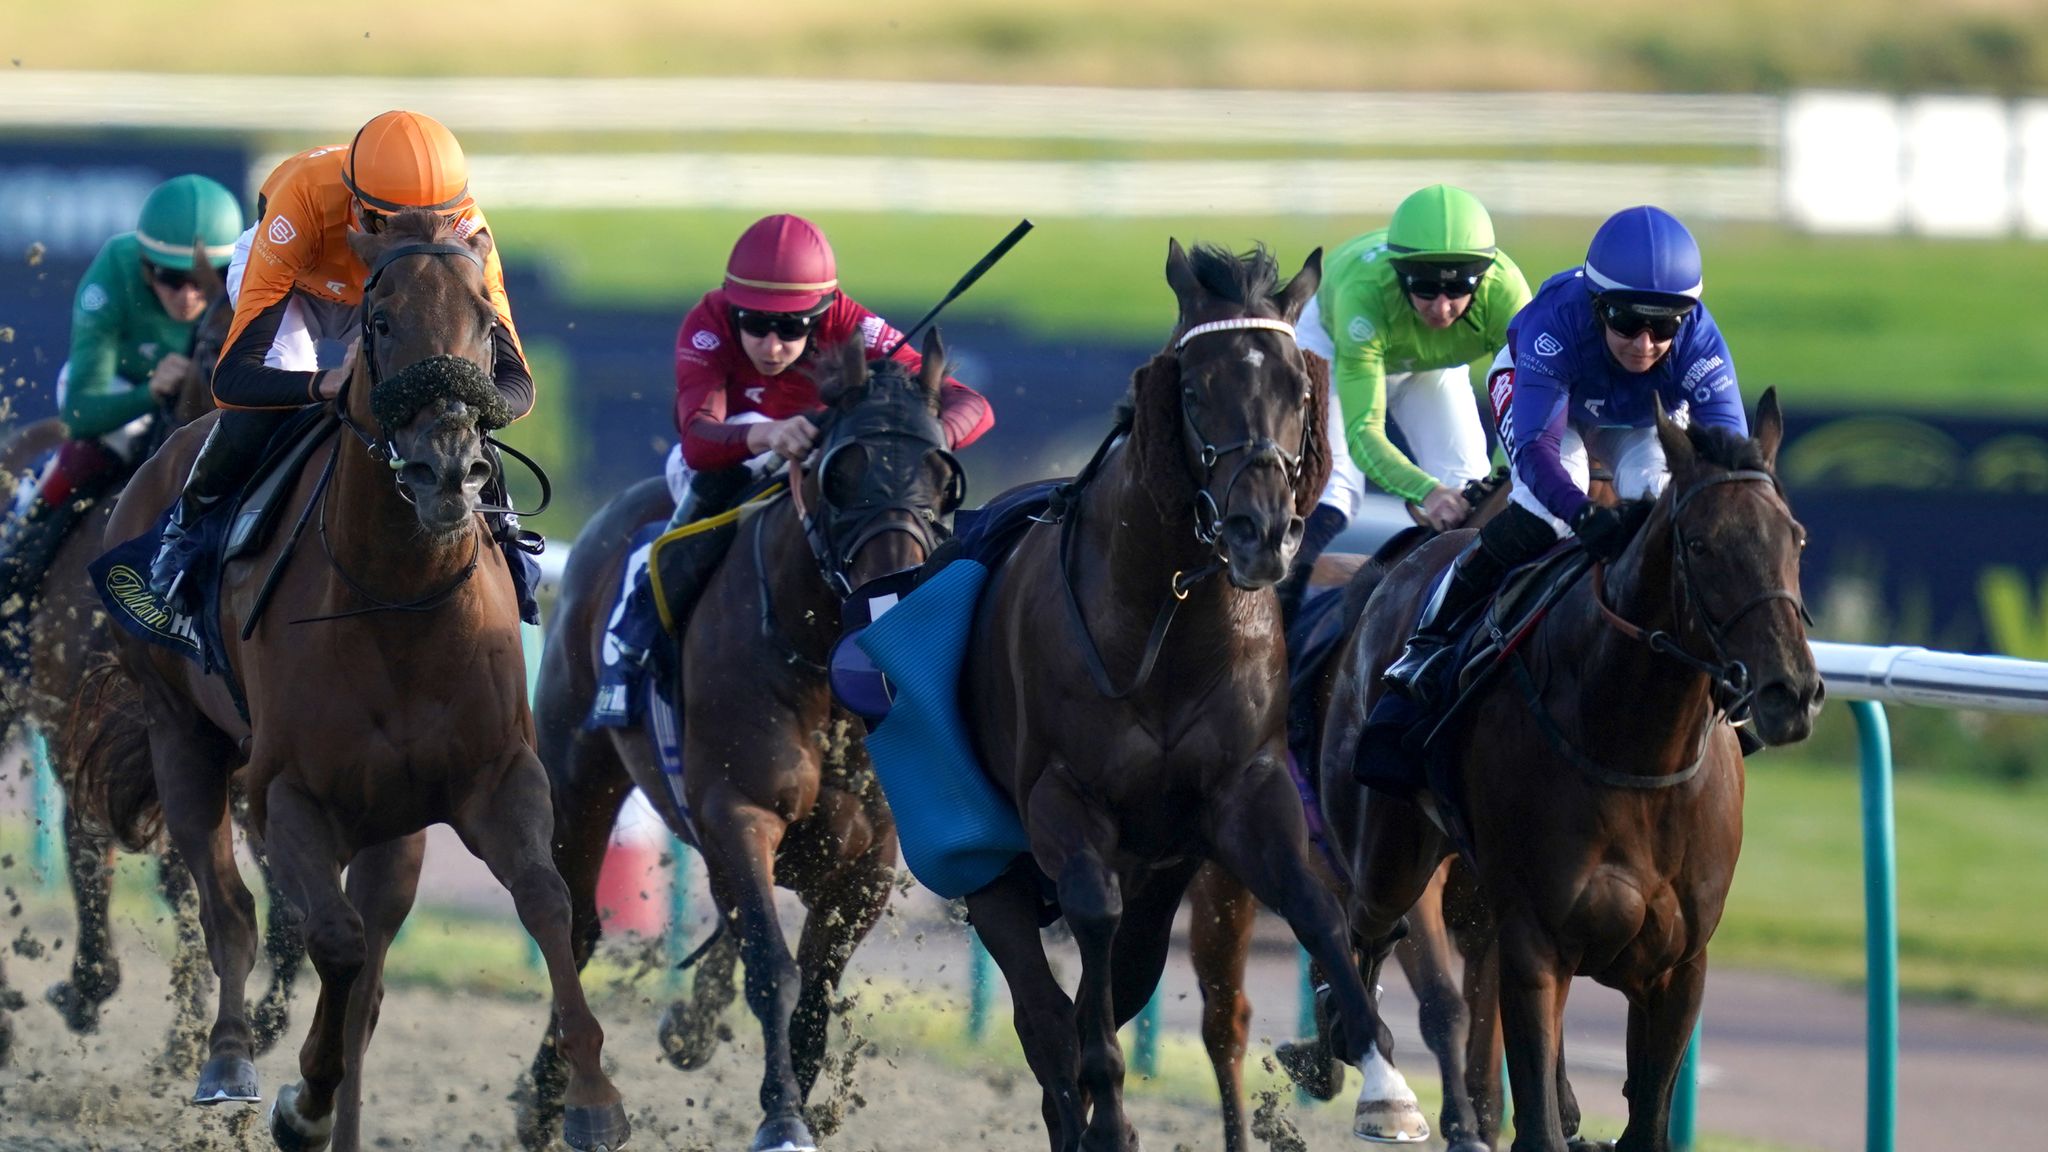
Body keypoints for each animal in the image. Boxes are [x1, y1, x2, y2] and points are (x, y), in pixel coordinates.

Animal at [85, 211, 629, 1152]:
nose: (448, 468)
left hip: (392, 822)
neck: (398, 605)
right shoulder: (288, 794)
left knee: (366, 968)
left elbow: (545, 902)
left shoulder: (496, 778)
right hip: (179, 733)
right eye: (380, 324)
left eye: (488, 329)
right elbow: (329, 941)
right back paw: (228, 1059)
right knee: (230, 908)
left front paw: (592, 1097)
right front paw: (299, 1100)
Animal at [522, 332, 965, 1152]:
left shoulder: (869, 862)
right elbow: (775, 970)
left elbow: (815, 997)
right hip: (577, 769)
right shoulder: (738, 812)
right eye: (839, 471)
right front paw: (783, 1116)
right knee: (575, 928)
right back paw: (552, 1101)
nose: (893, 601)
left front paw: (790, 1095)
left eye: (940, 473)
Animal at [958, 241, 1431, 1152]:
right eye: (1193, 389)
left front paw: (1385, 1083)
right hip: (986, 871)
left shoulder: (1246, 790)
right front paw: (1109, 1109)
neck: (1168, 624)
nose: (1261, 532)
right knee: (1043, 1014)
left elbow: (1315, 909)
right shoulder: (1063, 797)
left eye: (1299, 388)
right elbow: (1090, 923)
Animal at [1324, 393, 1821, 1152]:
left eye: (1795, 539)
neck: (1637, 752)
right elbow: (1536, 1115)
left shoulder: (1680, 964)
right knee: (1364, 925)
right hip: (1390, 850)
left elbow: (1646, 1120)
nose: (1790, 692)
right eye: (1701, 545)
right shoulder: (1535, 944)